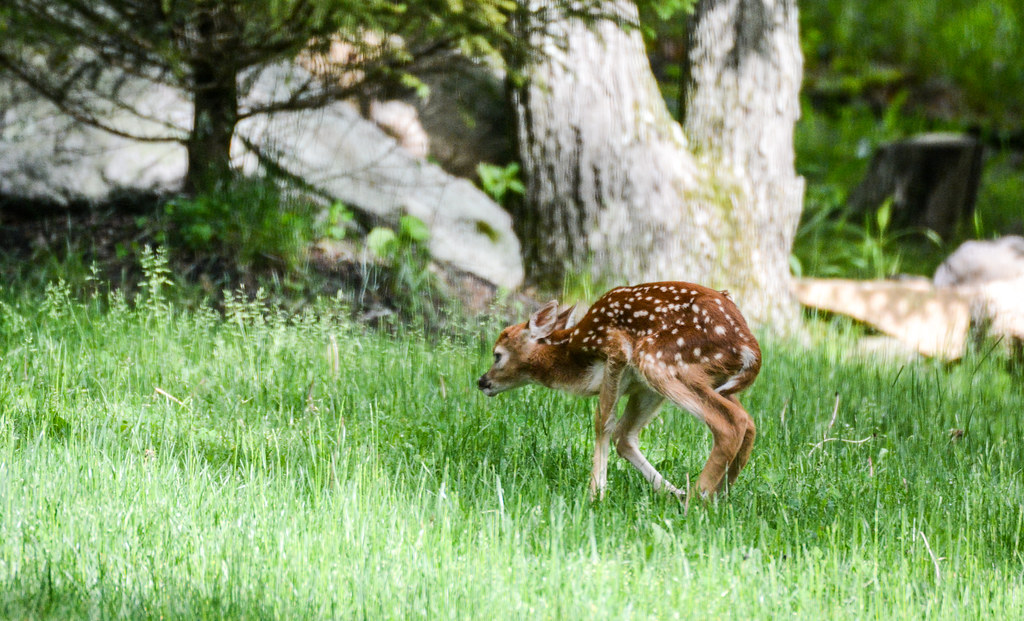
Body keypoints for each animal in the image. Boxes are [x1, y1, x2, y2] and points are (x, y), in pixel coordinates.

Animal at [477, 282, 761, 501]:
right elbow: (623, 435)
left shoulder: (616, 349)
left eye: (497, 355)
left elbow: (603, 422)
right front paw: (671, 491)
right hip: (709, 378)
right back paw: (717, 496)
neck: (573, 358)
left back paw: (696, 501)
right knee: (749, 423)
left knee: (730, 422)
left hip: (659, 359)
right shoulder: (642, 387)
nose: (482, 381)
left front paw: (595, 494)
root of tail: (749, 348)